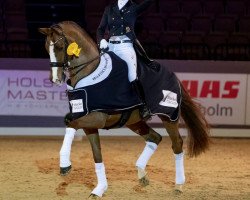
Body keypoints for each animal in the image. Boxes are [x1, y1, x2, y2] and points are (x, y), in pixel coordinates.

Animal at [39, 21, 210, 199]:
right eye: (46, 48)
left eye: (59, 46)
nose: (55, 79)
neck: (89, 72)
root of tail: (171, 74)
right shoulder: (88, 123)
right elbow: (96, 155)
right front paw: (99, 189)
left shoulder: (96, 118)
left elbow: (70, 123)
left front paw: (64, 165)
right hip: (134, 122)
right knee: (155, 138)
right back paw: (142, 175)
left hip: (168, 116)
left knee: (177, 144)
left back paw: (178, 185)